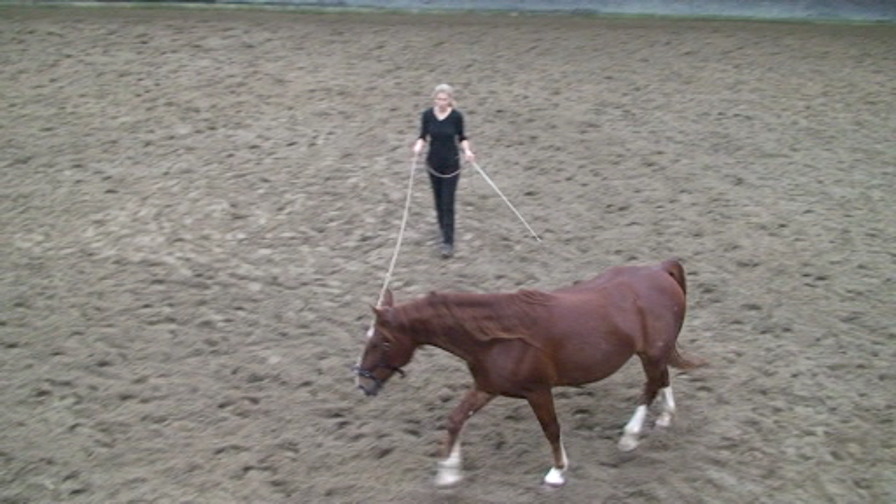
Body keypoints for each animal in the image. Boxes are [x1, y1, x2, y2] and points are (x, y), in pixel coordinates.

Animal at [354, 259, 703, 487]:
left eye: (383, 341)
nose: (362, 382)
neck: (495, 337)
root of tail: (660, 271)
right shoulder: (487, 387)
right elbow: (455, 419)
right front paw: (448, 472)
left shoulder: (537, 391)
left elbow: (551, 429)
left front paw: (558, 472)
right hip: (654, 353)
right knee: (662, 378)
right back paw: (666, 417)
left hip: (651, 353)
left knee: (650, 386)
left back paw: (630, 437)